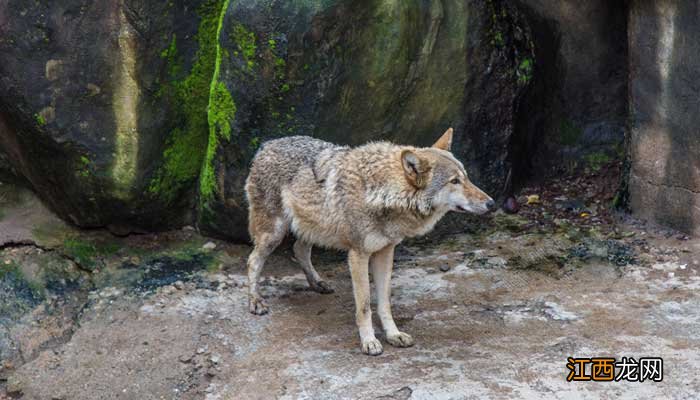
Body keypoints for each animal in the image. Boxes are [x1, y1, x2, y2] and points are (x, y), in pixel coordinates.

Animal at [243, 127, 494, 354]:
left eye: (466, 177)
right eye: (454, 181)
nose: (491, 203)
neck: (381, 193)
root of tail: (266, 145)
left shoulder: (386, 252)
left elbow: (384, 303)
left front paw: (393, 335)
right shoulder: (358, 255)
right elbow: (364, 306)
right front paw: (369, 342)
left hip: (314, 229)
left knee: (299, 250)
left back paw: (318, 283)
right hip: (273, 234)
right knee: (253, 260)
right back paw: (255, 301)